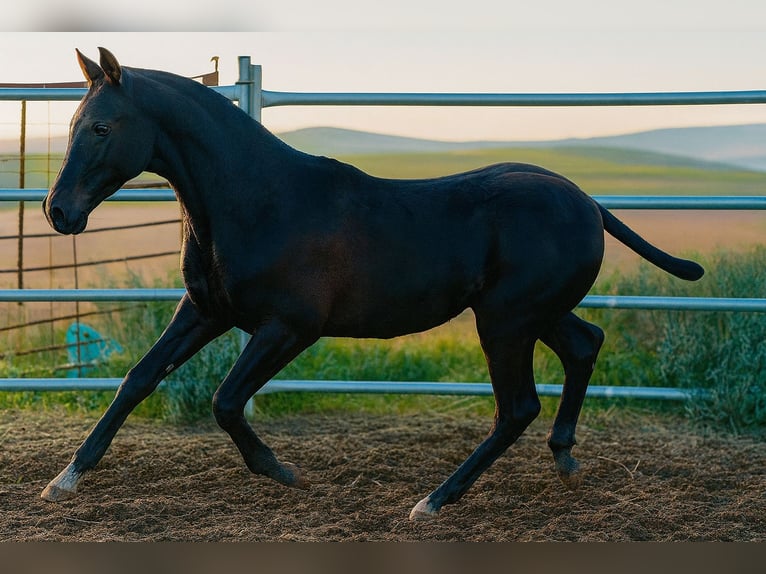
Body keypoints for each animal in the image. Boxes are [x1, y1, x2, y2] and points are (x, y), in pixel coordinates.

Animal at [41, 48, 704, 520]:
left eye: (101, 128)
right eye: (74, 123)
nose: (58, 212)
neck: (256, 200)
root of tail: (588, 203)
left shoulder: (290, 327)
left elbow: (225, 401)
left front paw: (283, 472)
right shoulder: (206, 312)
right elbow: (138, 379)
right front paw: (65, 478)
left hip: (506, 321)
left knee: (517, 407)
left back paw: (434, 501)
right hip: (532, 313)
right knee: (585, 344)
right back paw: (563, 458)